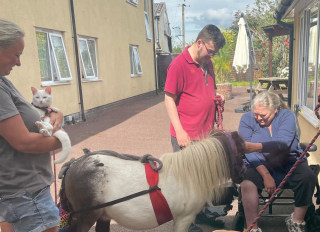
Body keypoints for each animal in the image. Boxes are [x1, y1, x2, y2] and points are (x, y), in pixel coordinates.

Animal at [58, 131, 246, 231]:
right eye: (241, 153)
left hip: (102, 216)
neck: (188, 174)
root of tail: (73, 165)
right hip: (87, 217)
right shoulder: (184, 218)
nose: (243, 175)